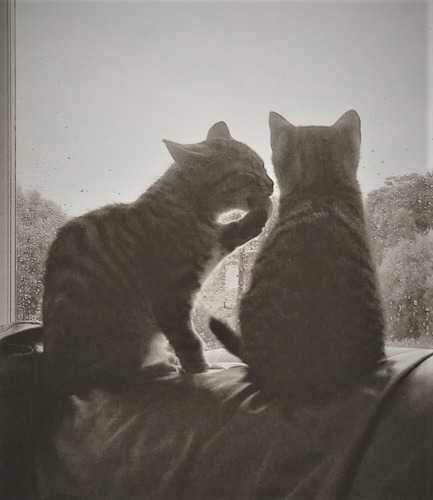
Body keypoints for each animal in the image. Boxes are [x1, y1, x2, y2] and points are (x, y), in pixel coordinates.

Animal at [44, 122, 274, 394]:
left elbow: (231, 233)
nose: (271, 184)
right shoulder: (171, 294)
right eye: (248, 174)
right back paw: (157, 367)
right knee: (112, 374)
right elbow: (187, 340)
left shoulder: (212, 245)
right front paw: (200, 369)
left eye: (263, 166)